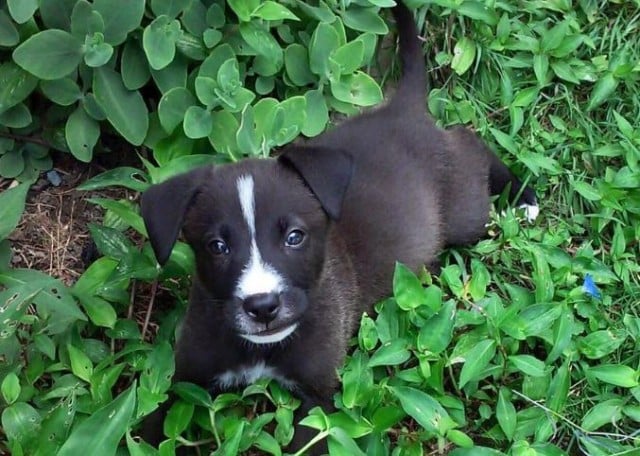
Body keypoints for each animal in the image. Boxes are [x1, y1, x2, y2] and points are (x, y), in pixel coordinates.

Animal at [139, 1, 536, 452]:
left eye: (295, 237)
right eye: (217, 246)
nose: (262, 307)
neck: (262, 349)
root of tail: (401, 110)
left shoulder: (319, 396)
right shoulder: (183, 377)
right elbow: (150, 422)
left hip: (465, 213)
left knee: (470, 142)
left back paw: (523, 196)